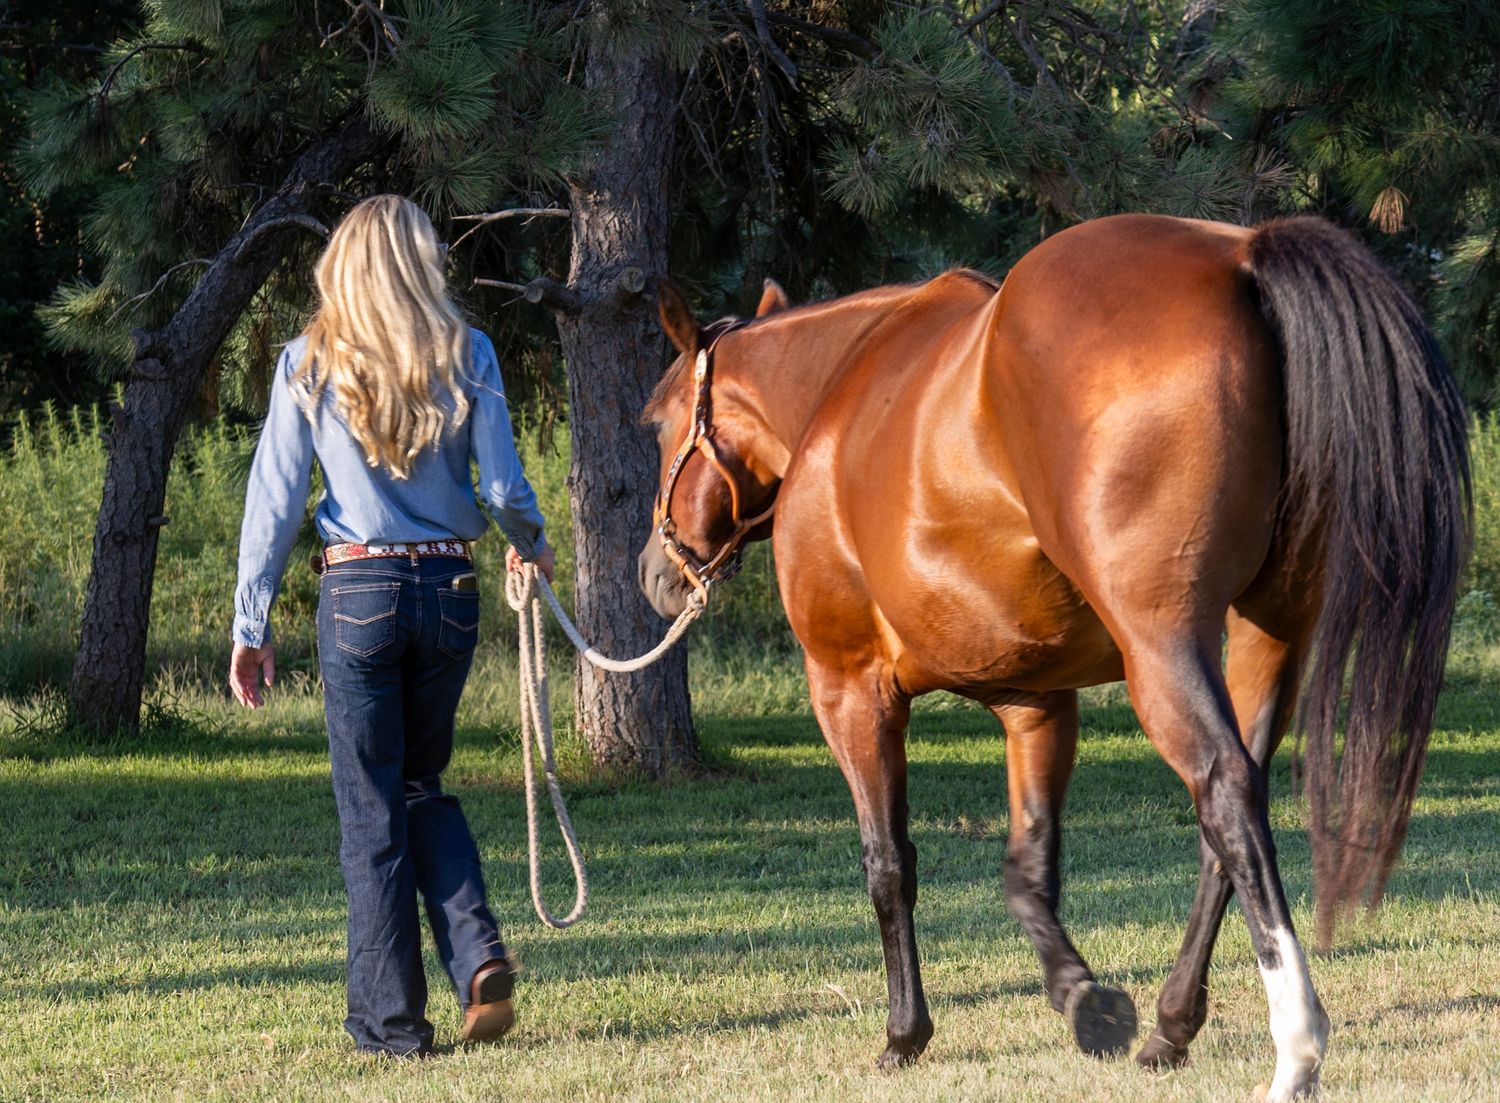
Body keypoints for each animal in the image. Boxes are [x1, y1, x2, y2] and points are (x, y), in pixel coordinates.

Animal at [636, 213, 1469, 1100]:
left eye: (658, 421)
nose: (656, 571)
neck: (839, 397)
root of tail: (1240, 254)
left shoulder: (850, 688)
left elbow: (888, 862)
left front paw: (905, 1033)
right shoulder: (1036, 700)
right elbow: (1027, 866)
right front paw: (1084, 997)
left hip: (1162, 646)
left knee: (1225, 790)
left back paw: (1297, 1047)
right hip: (1266, 634)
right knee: (1230, 821)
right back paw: (1171, 1027)